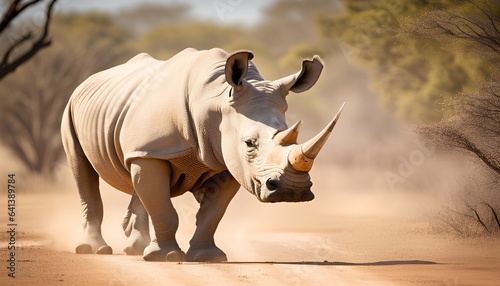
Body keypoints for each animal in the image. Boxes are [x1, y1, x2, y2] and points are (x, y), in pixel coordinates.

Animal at [60, 47, 344, 262]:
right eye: (249, 144)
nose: (292, 191)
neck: (215, 99)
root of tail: (86, 82)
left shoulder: (227, 161)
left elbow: (212, 213)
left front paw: (207, 257)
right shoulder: (154, 149)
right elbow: (164, 208)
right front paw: (166, 257)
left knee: (138, 181)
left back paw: (136, 250)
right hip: (71, 109)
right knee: (83, 172)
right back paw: (94, 250)